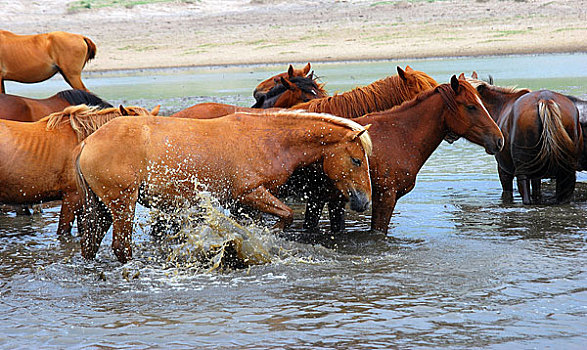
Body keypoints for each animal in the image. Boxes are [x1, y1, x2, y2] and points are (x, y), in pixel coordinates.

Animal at [73, 110, 372, 262]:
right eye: (357, 160)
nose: (364, 200)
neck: (269, 139)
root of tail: (87, 142)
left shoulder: (245, 203)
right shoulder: (250, 193)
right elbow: (286, 215)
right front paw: (271, 234)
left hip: (100, 208)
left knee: (90, 245)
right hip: (122, 204)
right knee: (121, 247)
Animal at [468, 75, 584, 204]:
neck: (501, 105)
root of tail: (545, 100)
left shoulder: (504, 171)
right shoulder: (536, 175)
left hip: (523, 171)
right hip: (566, 172)